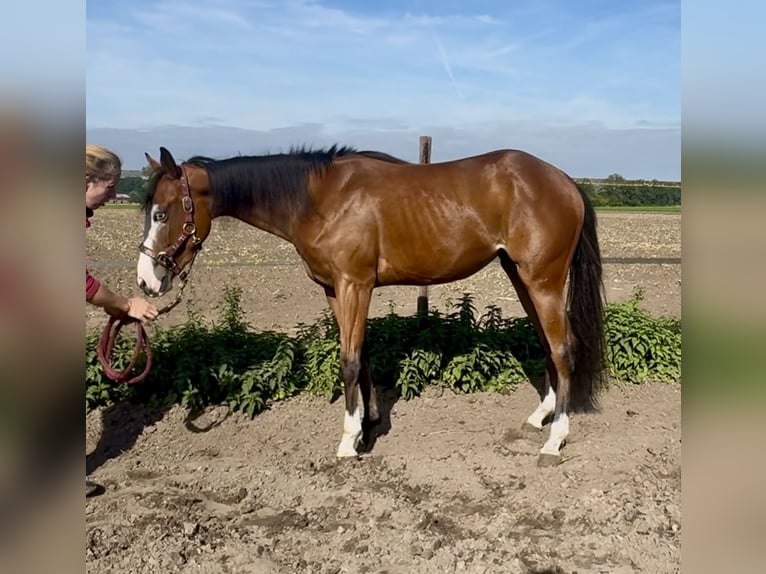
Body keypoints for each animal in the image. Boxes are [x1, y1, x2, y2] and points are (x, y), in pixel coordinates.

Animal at [137, 145, 605, 466]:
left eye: (162, 214)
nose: (147, 280)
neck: (319, 198)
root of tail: (565, 180)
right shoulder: (334, 289)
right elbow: (359, 356)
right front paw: (368, 422)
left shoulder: (354, 286)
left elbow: (348, 361)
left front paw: (348, 441)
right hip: (521, 276)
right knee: (549, 346)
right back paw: (541, 416)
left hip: (543, 280)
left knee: (563, 350)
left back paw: (554, 440)